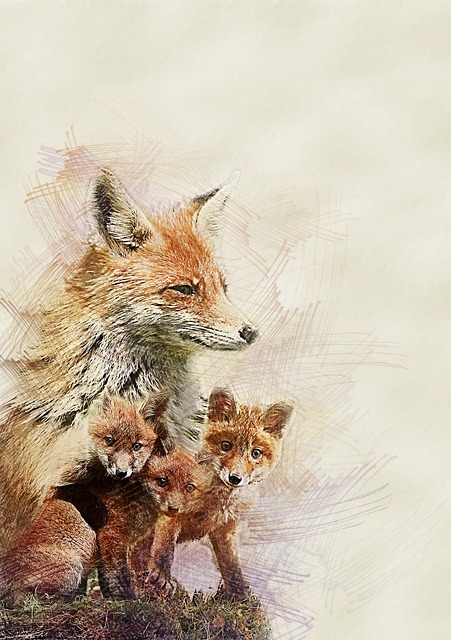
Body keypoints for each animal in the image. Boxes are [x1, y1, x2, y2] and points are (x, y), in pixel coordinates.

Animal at [137, 388, 293, 599]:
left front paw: (239, 595)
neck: (215, 501)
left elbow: (231, 565)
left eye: (256, 453)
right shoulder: (171, 510)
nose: (235, 478)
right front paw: (162, 575)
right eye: (226, 445)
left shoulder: (225, 528)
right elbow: (165, 547)